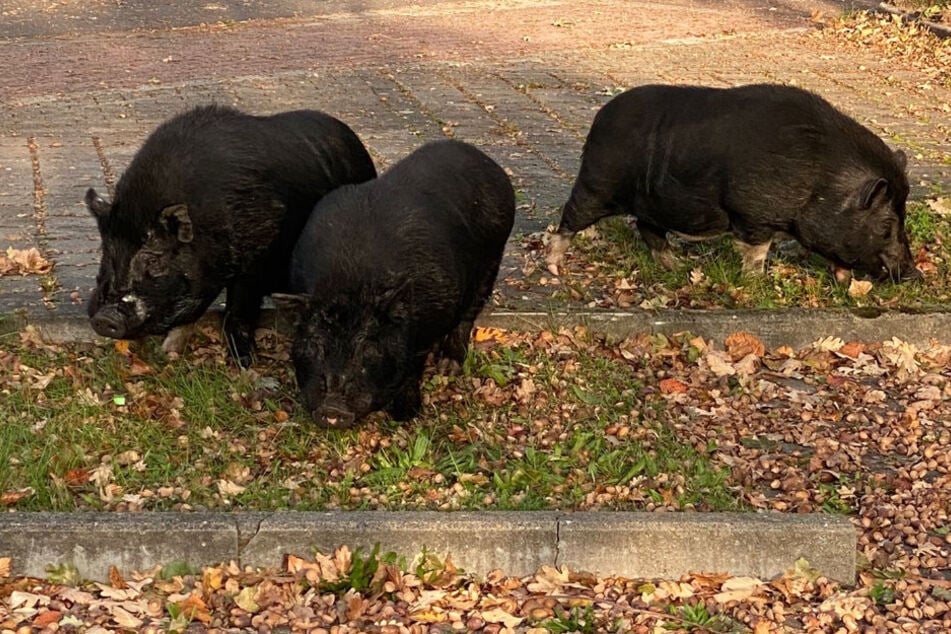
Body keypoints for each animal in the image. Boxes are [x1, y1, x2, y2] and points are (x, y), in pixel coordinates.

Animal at [84, 103, 376, 366]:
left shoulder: (257, 258)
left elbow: (238, 309)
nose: (103, 318)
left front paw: (244, 362)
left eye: (154, 257)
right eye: (107, 251)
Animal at [272, 140, 516, 428]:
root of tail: (487, 162)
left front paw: (405, 416)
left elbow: (413, 368)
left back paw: (448, 366)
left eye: (368, 346)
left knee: (470, 310)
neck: (351, 282)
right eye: (315, 343)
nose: (332, 407)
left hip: (494, 255)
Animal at [548, 83, 924, 282]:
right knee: (569, 218)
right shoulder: (752, 213)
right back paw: (553, 266)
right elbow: (756, 252)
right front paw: (756, 281)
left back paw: (676, 267)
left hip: (651, 204)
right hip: (596, 185)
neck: (821, 181)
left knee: (648, 229)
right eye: (886, 224)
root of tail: (600, 118)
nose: (913, 274)